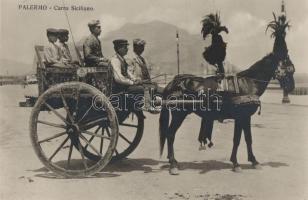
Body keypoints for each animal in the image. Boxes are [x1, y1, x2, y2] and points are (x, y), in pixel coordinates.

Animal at [160, 15, 294, 175]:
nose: (291, 87)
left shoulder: (245, 117)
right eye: (288, 65)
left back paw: (172, 161)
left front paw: (253, 161)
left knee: (169, 134)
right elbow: (237, 139)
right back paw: (173, 163)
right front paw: (236, 163)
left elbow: (248, 138)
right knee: (170, 134)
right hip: (179, 114)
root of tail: (173, 82)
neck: (248, 83)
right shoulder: (241, 116)